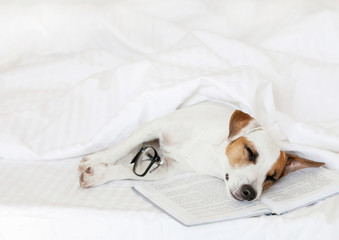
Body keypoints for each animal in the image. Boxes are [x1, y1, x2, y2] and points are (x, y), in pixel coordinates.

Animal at [78, 102, 326, 202]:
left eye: (272, 178)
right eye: (250, 152)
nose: (250, 193)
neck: (211, 154)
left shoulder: (168, 170)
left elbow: (128, 171)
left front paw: (100, 173)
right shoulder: (156, 125)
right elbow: (124, 145)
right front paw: (98, 158)